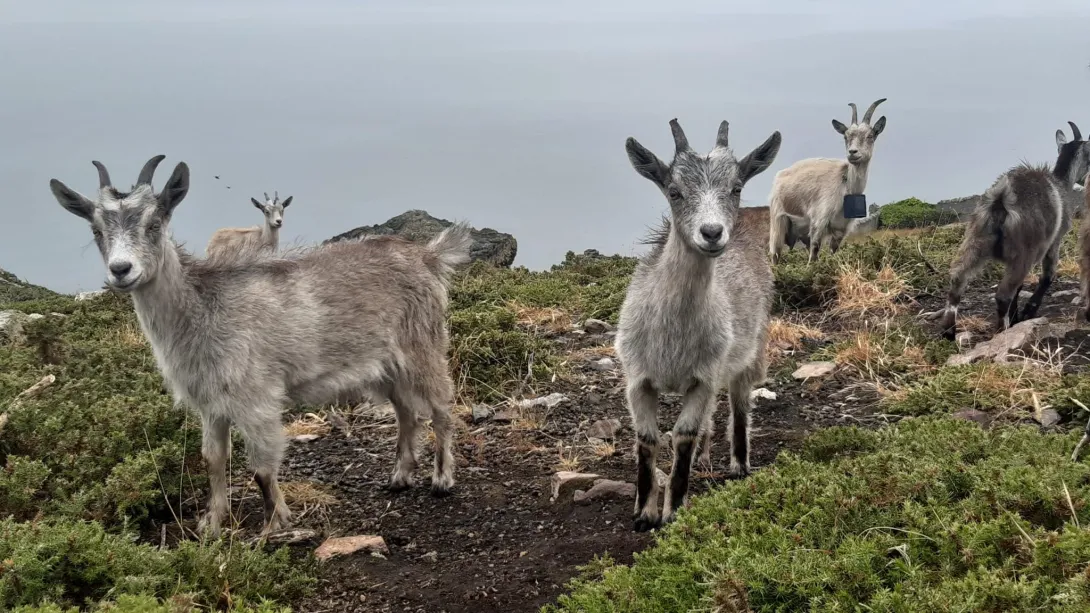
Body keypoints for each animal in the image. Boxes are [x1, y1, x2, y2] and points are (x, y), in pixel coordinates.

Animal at [49, 156, 471, 537]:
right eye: (97, 230)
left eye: (154, 223)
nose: (121, 270)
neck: (202, 308)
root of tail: (429, 256)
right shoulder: (210, 403)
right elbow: (213, 459)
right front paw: (211, 524)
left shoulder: (256, 397)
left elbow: (262, 467)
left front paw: (274, 525)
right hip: (386, 365)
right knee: (407, 413)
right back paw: (399, 476)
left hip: (423, 344)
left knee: (441, 408)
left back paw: (442, 479)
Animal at [617, 118, 780, 532]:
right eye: (674, 191)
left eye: (736, 188)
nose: (711, 233)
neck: (673, 338)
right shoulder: (637, 377)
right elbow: (648, 438)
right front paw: (643, 512)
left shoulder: (703, 378)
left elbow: (683, 437)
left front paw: (673, 509)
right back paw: (706, 459)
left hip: (750, 350)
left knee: (739, 403)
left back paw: (738, 464)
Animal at [769, 98, 888, 263]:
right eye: (845, 137)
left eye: (870, 136)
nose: (852, 152)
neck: (845, 187)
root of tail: (779, 176)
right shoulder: (819, 221)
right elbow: (814, 252)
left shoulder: (840, 229)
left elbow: (833, 253)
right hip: (778, 221)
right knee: (775, 253)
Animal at [932, 122, 1090, 339]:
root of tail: (1002, 197)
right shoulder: (1053, 242)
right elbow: (1047, 277)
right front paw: (1026, 313)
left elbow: (1021, 286)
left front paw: (1016, 316)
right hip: (1024, 251)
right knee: (1003, 294)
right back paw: (1002, 331)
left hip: (975, 238)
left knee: (958, 280)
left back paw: (948, 332)